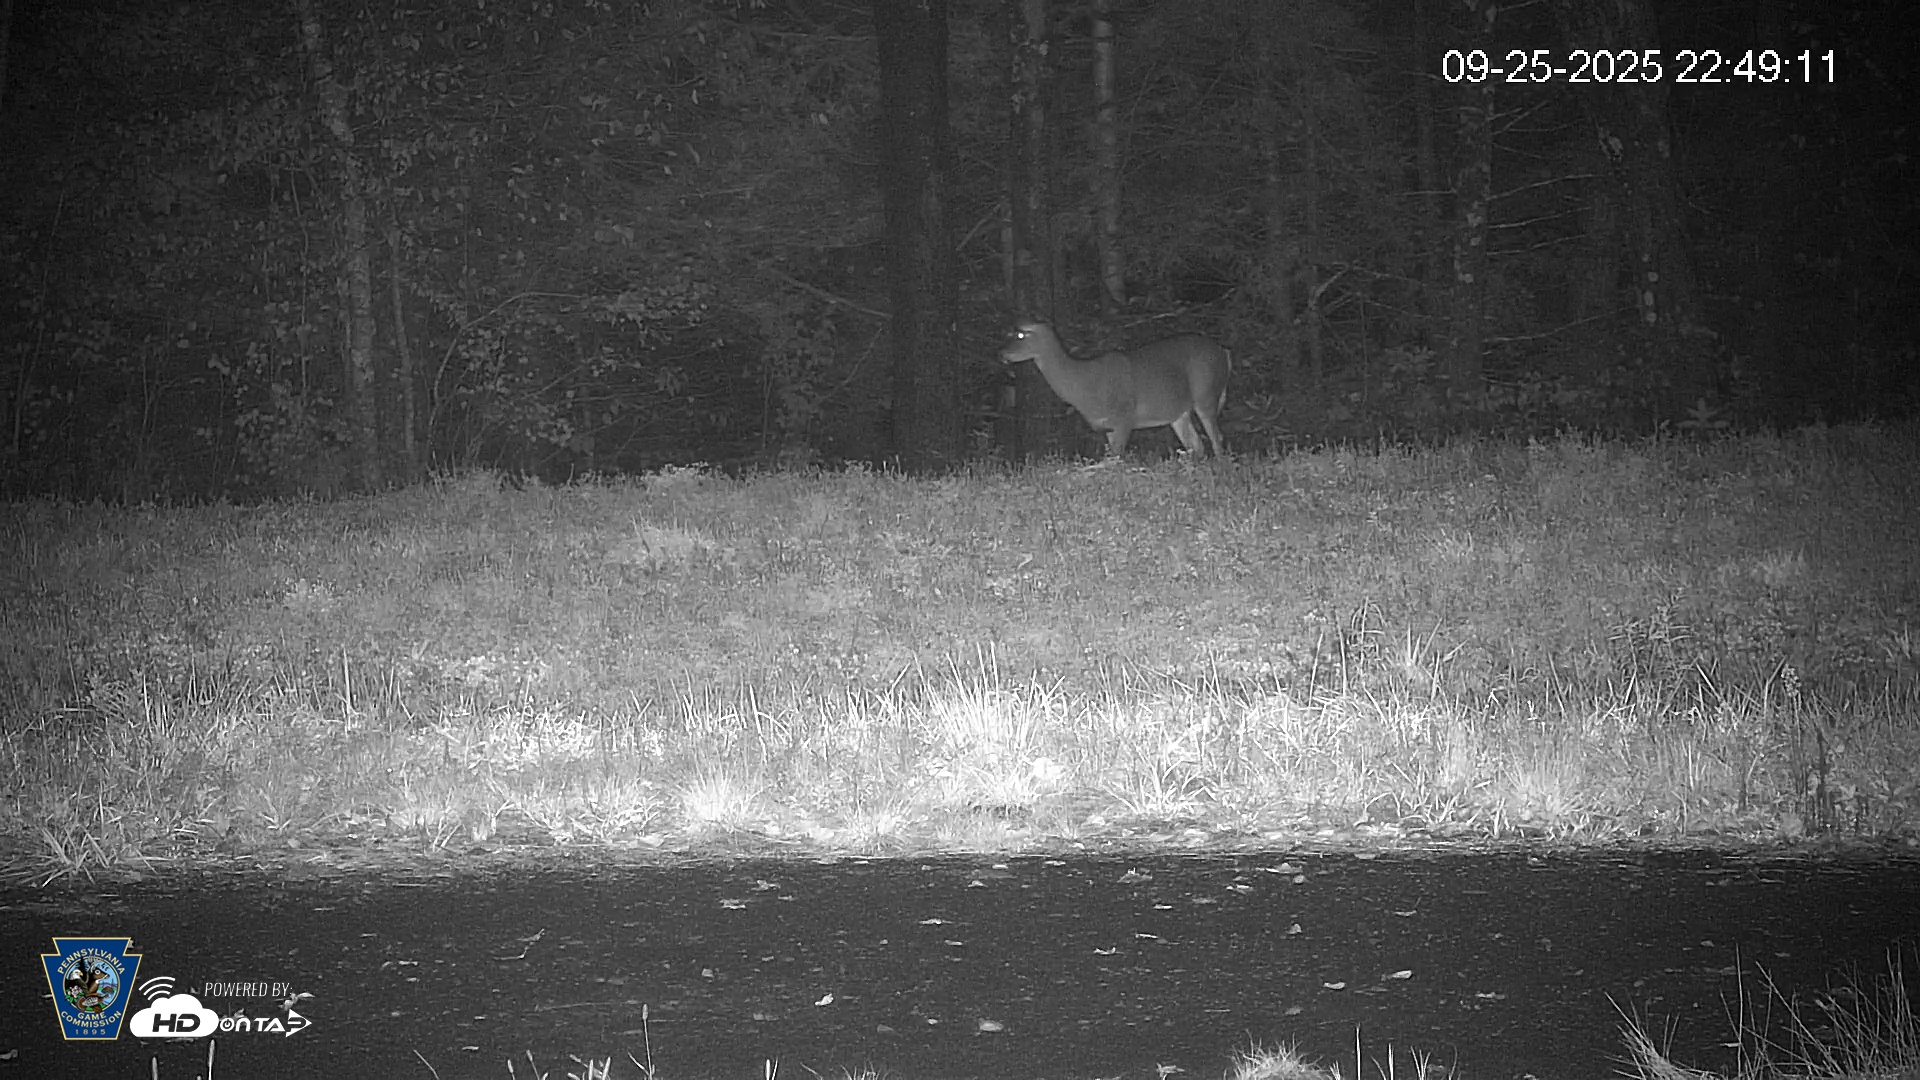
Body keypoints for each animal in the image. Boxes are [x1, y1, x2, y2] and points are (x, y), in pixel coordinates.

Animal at [1001, 320, 1231, 459]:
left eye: (1021, 335)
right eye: (1011, 333)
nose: (1002, 353)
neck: (1084, 384)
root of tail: (1224, 352)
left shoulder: (1124, 416)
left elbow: (1116, 459)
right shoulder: (1108, 426)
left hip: (1206, 393)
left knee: (1217, 439)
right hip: (1178, 412)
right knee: (1196, 445)